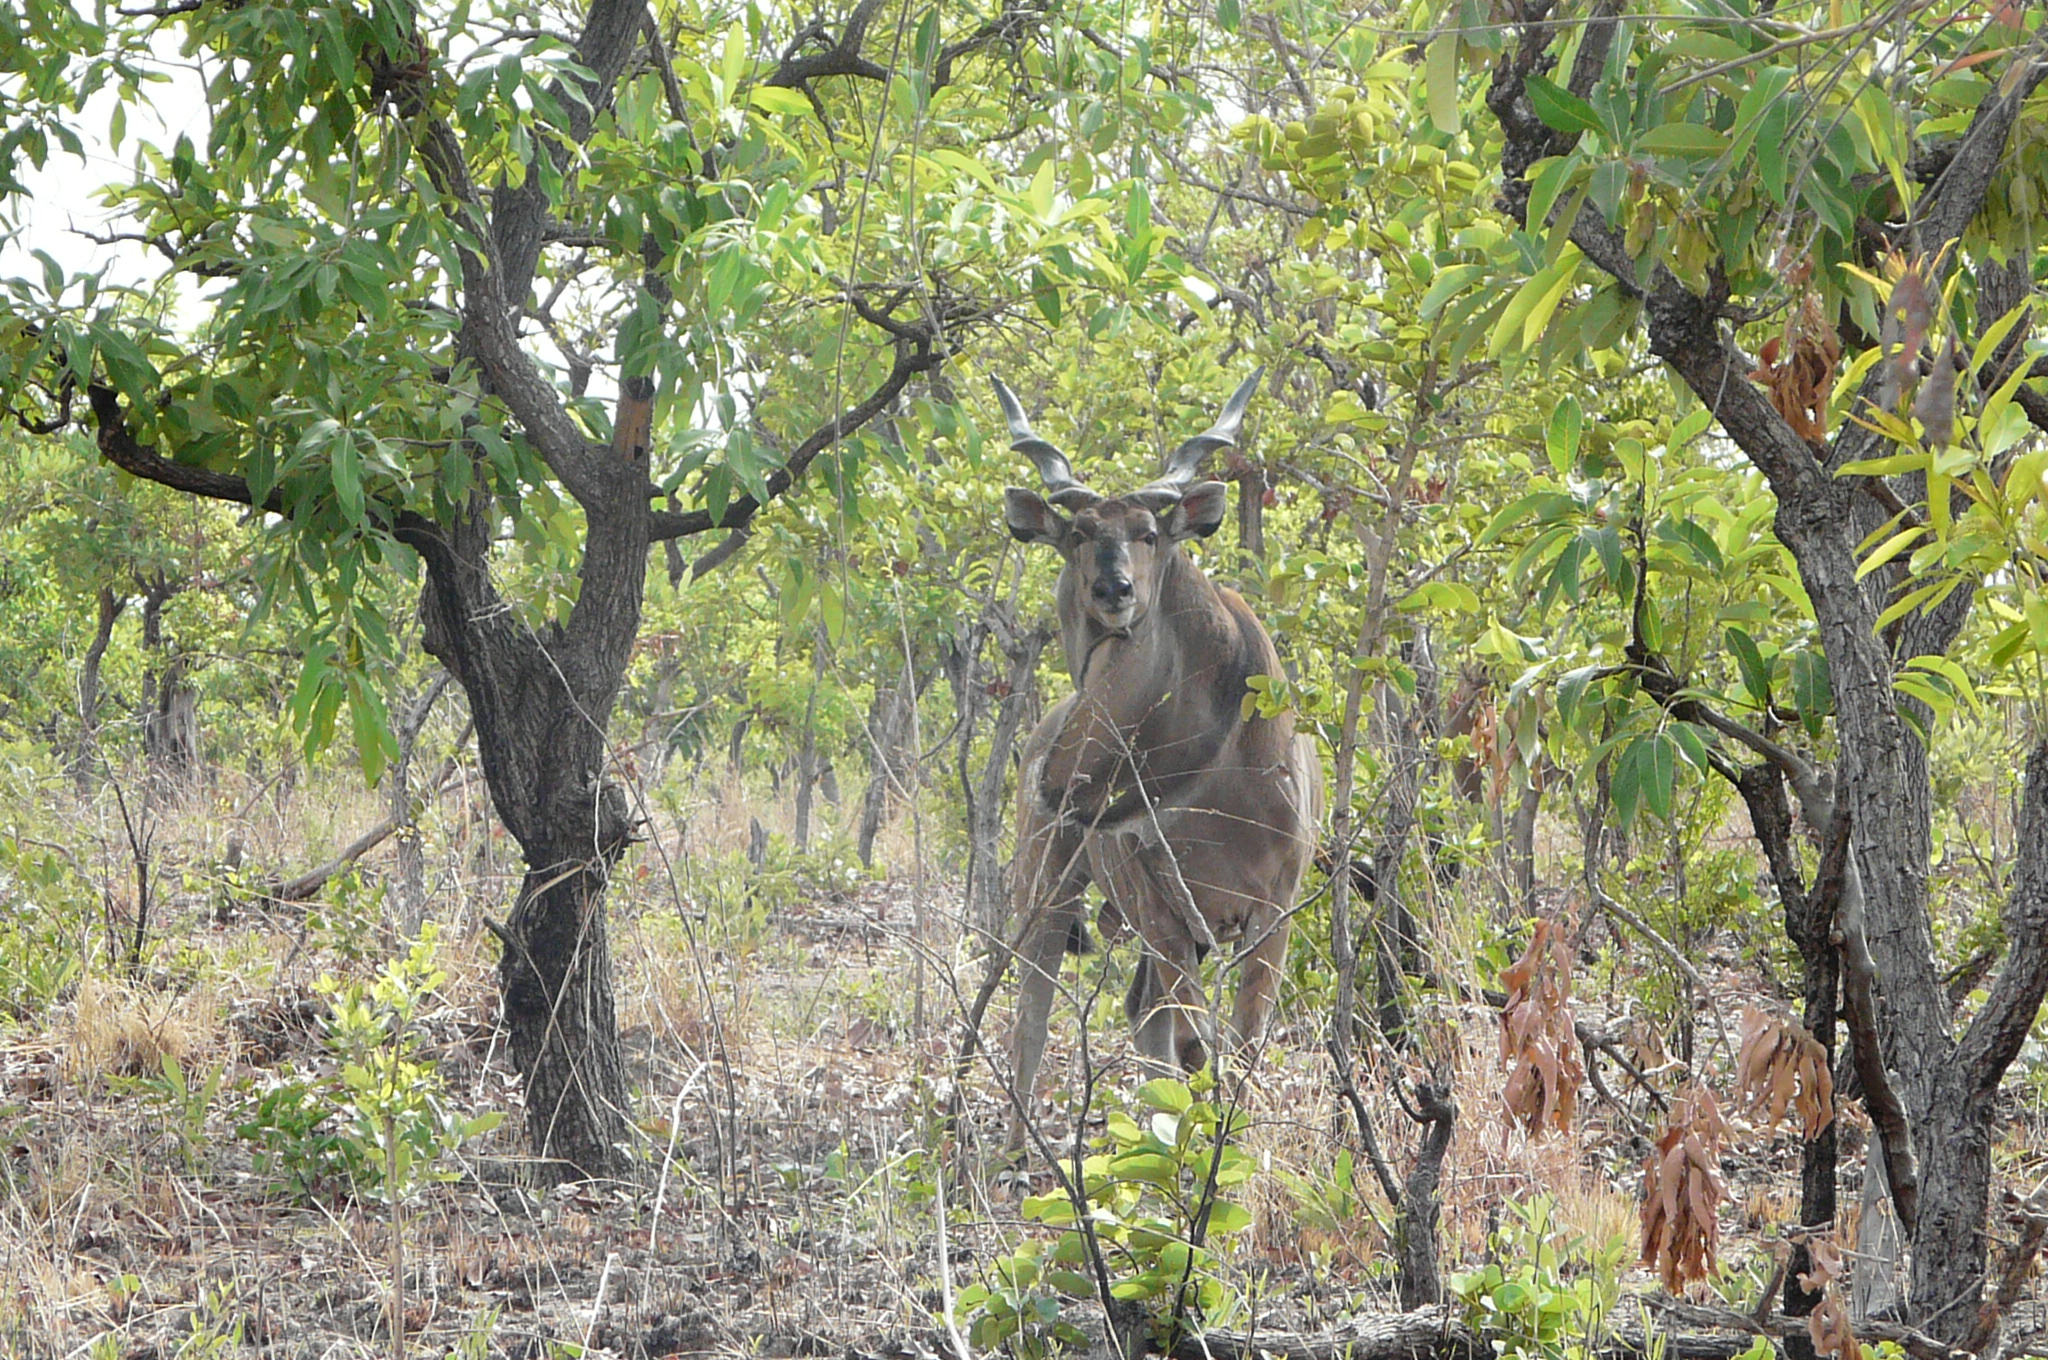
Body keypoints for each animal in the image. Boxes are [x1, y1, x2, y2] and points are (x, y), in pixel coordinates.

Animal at [995, 372, 1318, 1146]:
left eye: (1149, 533)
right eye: (1079, 534)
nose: (1114, 591)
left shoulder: (1273, 912)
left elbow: (1241, 1046)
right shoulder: (1166, 910)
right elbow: (1197, 1045)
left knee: (1141, 1017)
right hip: (1047, 887)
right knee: (1034, 1008)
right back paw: (1015, 1151)